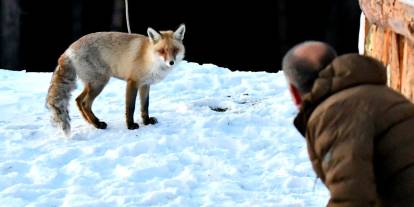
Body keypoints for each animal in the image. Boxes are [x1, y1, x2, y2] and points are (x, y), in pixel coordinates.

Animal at [46, 24, 186, 136]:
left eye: (175, 50)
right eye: (162, 51)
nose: (171, 62)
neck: (150, 59)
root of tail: (68, 50)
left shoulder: (145, 85)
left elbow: (144, 106)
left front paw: (146, 122)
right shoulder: (133, 82)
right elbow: (130, 107)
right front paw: (130, 126)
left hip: (92, 84)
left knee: (78, 100)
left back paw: (93, 122)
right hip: (99, 83)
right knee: (85, 103)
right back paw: (97, 124)